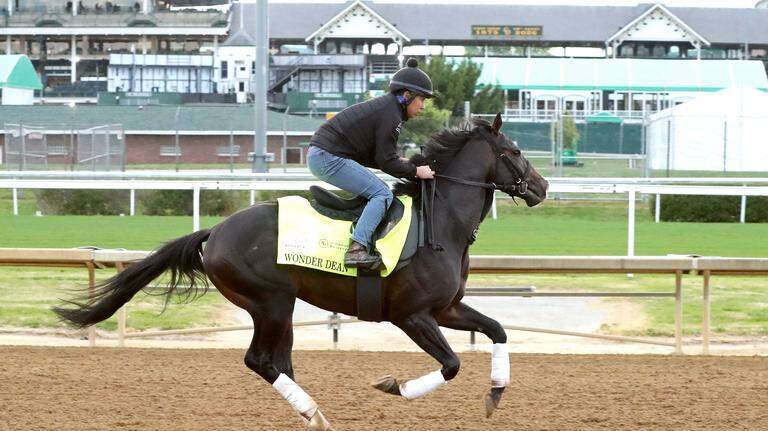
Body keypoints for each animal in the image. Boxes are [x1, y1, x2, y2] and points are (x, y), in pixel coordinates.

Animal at [54, 114, 548, 430]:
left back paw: (315, 415)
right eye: (515, 150)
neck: (440, 223)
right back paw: (313, 413)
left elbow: (498, 330)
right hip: (271, 302)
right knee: (260, 360)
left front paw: (495, 393)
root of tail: (216, 231)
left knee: (279, 362)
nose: (542, 187)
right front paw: (391, 386)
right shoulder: (411, 315)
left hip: (282, 307)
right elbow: (450, 365)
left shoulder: (446, 308)